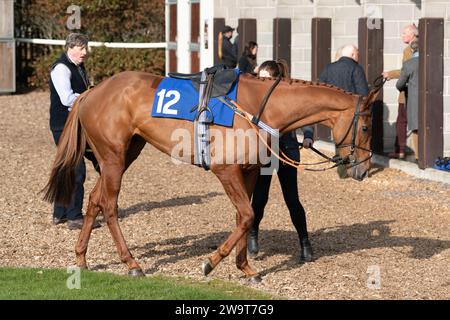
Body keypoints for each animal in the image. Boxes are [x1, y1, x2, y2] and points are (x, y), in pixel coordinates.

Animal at [44, 71, 380, 282]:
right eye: (365, 127)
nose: (363, 168)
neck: (259, 109)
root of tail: (90, 92)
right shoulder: (226, 170)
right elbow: (246, 216)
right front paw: (211, 262)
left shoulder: (248, 171)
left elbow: (247, 215)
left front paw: (245, 268)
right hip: (113, 157)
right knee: (110, 206)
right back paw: (132, 263)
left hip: (125, 154)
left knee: (95, 199)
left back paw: (81, 257)